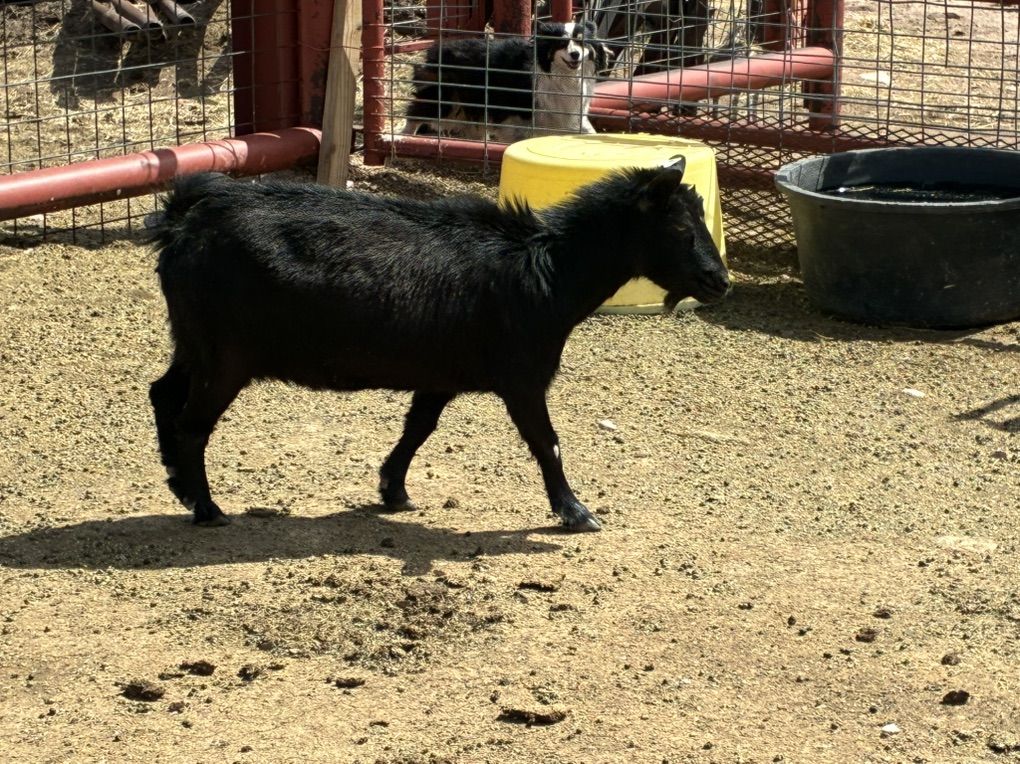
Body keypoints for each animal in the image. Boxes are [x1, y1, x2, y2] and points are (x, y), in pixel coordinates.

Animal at [148, 161, 729, 532]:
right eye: (680, 225)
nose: (719, 281)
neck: (548, 270)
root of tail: (183, 221)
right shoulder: (522, 376)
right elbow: (547, 442)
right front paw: (576, 511)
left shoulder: (439, 375)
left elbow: (419, 428)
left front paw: (393, 491)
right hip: (226, 356)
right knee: (192, 423)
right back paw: (206, 507)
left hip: (195, 344)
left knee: (162, 393)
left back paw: (179, 483)